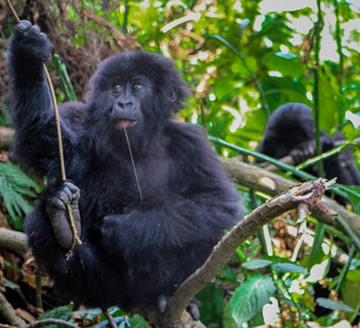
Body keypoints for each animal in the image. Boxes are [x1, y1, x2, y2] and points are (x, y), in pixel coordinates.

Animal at [7, 21, 240, 316]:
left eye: (138, 86)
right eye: (116, 88)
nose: (124, 103)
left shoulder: (192, 143)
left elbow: (216, 203)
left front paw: (128, 229)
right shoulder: (82, 121)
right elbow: (43, 139)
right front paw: (28, 54)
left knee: (201, 230)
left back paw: (167, 295)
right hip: (106, 284)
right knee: (42, 221)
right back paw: (62, 222)